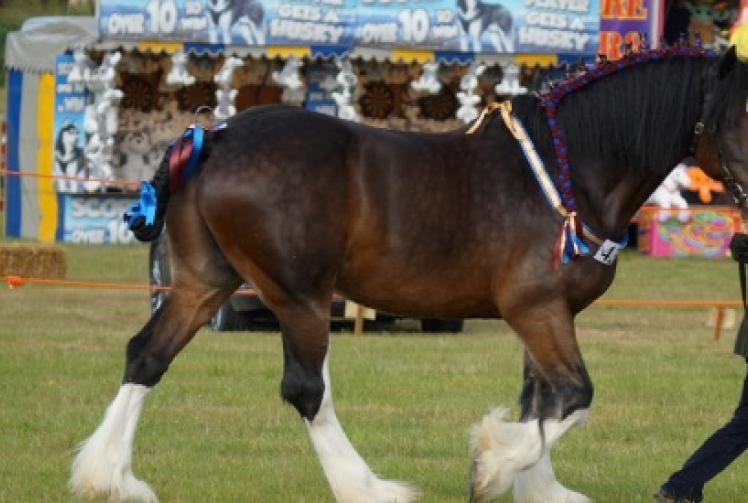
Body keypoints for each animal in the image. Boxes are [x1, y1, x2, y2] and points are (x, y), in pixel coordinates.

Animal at [69, 44, 748, 503]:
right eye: (741, 120)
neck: (567, 169)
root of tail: (214, 137)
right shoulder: (536, 309)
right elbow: (572, 396)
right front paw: (493, 464)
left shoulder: (542, 316)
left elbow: (542, 400)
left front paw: (534, 484)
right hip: (297, 294)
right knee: (306, 389)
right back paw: (365, 486)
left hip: (204, 283)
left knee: (147, 356)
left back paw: (110, 477)